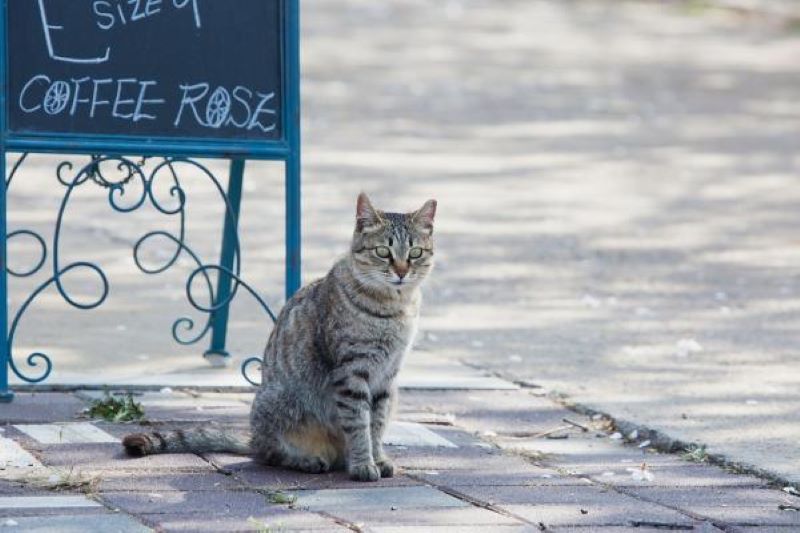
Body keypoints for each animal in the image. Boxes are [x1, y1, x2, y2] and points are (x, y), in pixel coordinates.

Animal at [123, 192, 438, 482]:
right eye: (383, 252)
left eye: (415, 253)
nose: (401, 271)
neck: (394, 307)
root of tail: (253, 437)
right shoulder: (352, 372)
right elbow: (359, 423)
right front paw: (363, 464)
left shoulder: (387, 378)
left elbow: (377, 423)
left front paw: (378, 458)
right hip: (280, 406)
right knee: (270, 453)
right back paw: (307, 460)